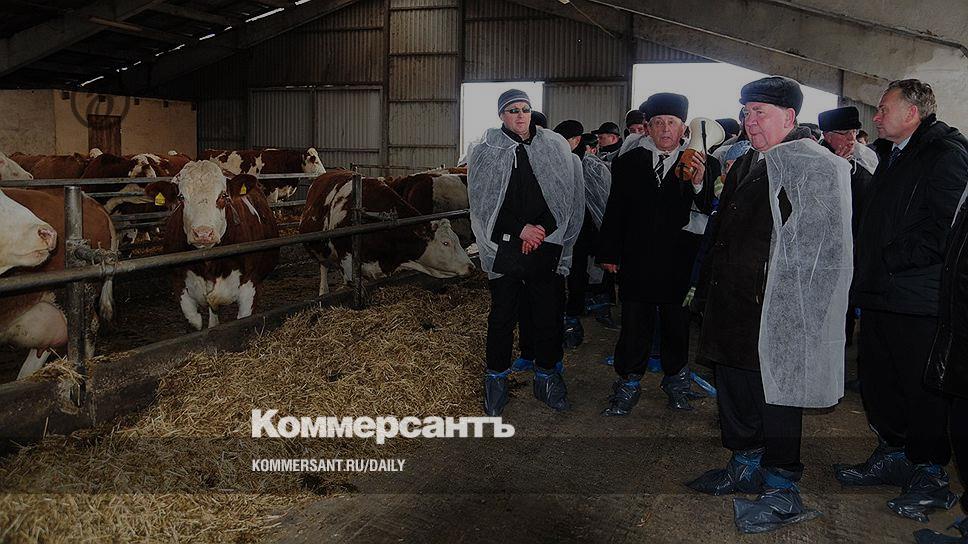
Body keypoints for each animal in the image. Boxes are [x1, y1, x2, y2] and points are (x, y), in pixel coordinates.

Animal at [154, 161, 279, 330]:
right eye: (181, 197)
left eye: (223, 196)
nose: (203, 233)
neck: (209, 264)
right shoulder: (180, 285)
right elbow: (195, 322)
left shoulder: (251, 287)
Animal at [299, 171, 474, 296]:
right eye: (445, 243)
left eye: (457, 240)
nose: (471, 266)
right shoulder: (347, 261)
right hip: (321, 248)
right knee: (323, 266)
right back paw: (323, 290)